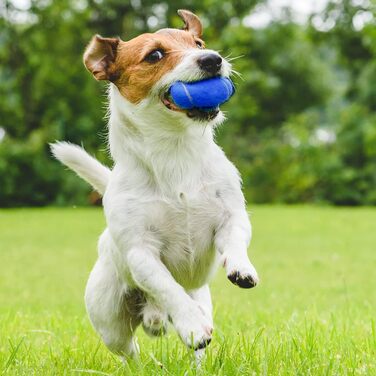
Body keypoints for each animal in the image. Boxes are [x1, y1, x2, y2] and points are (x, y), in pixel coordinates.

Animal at [50, 9, 258, 358]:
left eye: (198, 43)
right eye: (155, 55)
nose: (213, 59)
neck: (175, 152)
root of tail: (151, 312)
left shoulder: (231, 216)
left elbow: (234, 240)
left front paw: (241, 268)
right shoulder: (140, 253)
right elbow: (167, 287)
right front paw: (191, 324)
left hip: (200, 296)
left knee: (196, 344)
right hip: (110, 321)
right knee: (131, 351)